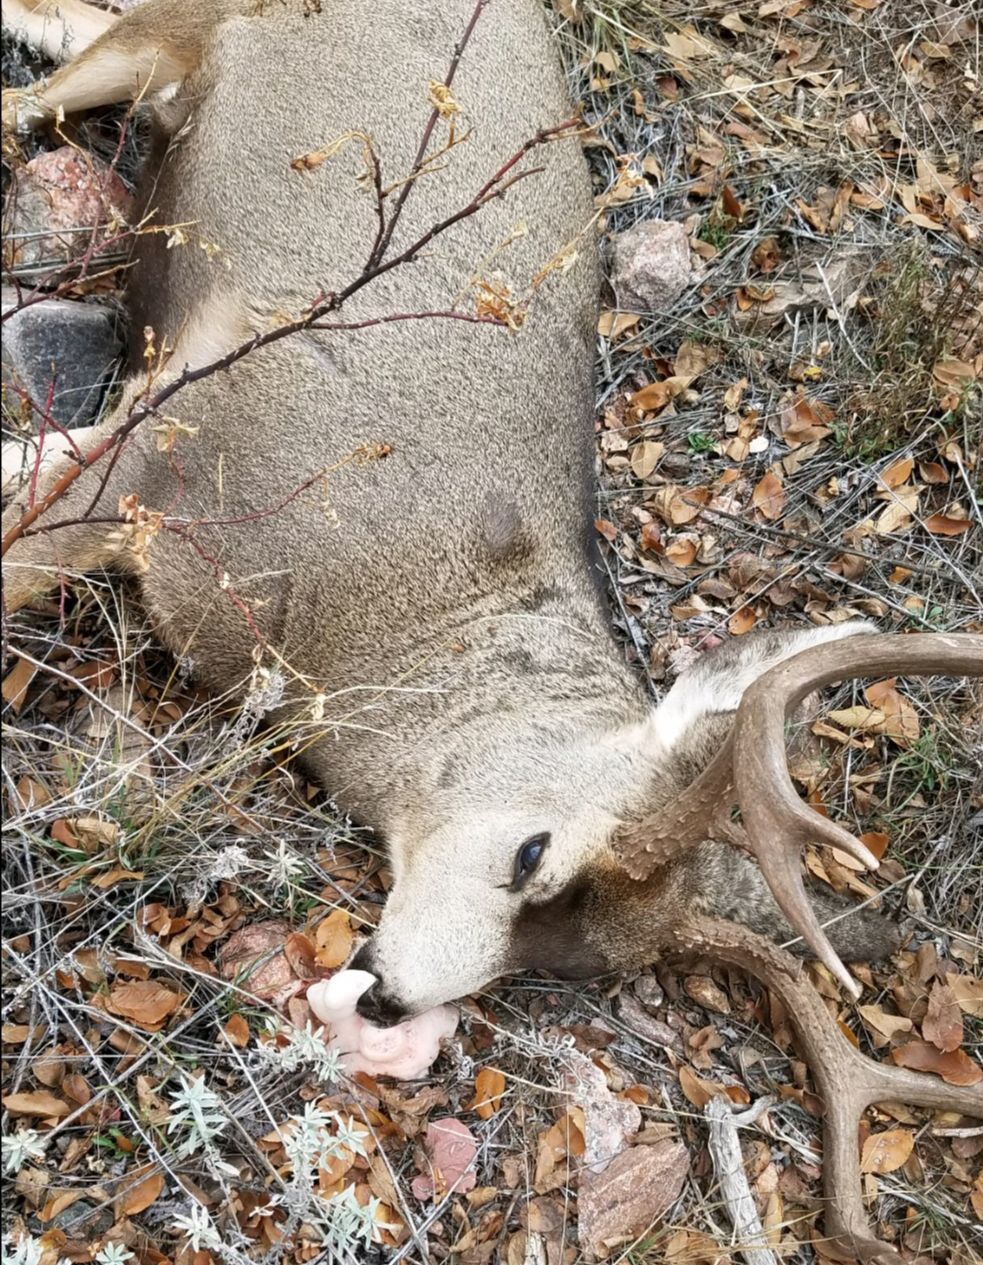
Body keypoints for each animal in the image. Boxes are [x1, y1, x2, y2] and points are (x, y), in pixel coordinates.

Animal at [2, 2, 980, 1259]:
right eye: (530, 855)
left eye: (545, 973)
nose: (385, 995)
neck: (361, 621)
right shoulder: (182, 437)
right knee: (38, 99)